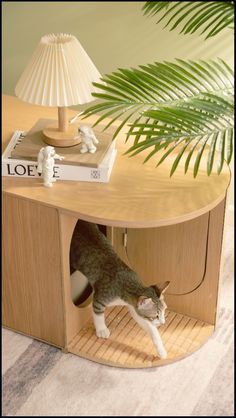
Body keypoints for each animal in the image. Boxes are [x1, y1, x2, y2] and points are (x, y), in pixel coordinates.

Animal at [69, 219, 170, 360]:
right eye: (155, 315)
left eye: (164, 311)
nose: (163, 322)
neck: (127, 283)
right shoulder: (100, 298)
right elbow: (98, 313)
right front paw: (101, 330)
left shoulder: (133, 307)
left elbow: (151, 329)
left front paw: (161, 350)